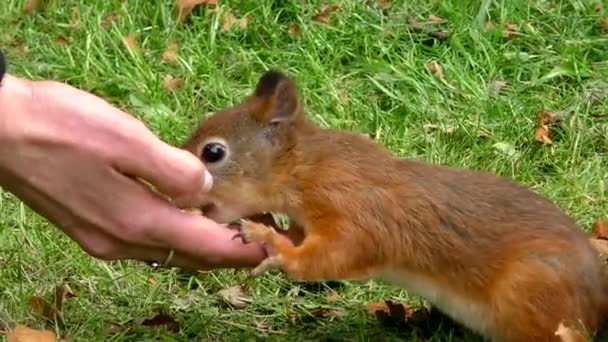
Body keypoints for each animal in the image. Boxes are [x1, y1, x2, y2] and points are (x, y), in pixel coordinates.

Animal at [178, 71, 608, 340]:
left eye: (213, 152)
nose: (182, 191)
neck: (305, 170)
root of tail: (596, 305)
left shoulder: (355, 210)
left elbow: (332, 256)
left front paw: (270, 240)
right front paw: (272, 224)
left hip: (533, 292)